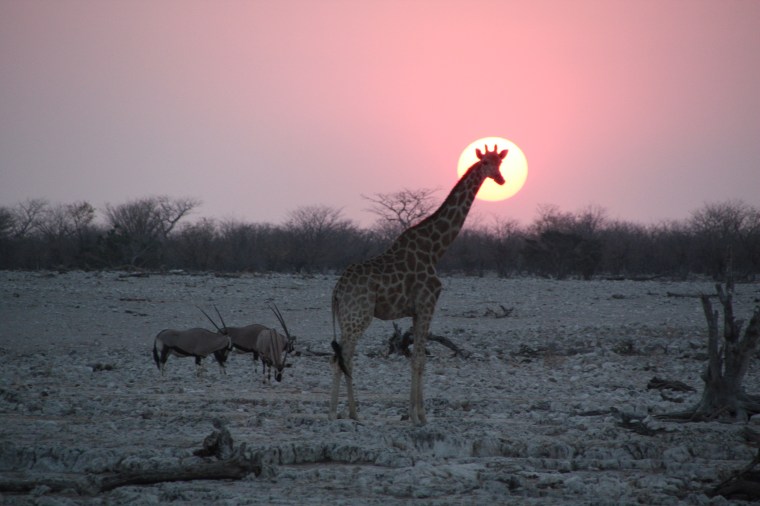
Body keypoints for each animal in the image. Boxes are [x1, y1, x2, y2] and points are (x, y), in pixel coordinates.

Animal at [329, 144, 508, 425]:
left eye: (500, 163)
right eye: (486, 163)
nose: (500, 179)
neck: (436, 249)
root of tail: (337, 290)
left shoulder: (415, 311)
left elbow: (415, 358)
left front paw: (413, 413)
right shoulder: (427, 305)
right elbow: (420, 360)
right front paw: (419, 416)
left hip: (348, 316)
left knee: (340, 356)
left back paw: (349, 412)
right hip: (358, 316)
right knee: (342, 357)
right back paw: (337, 412)